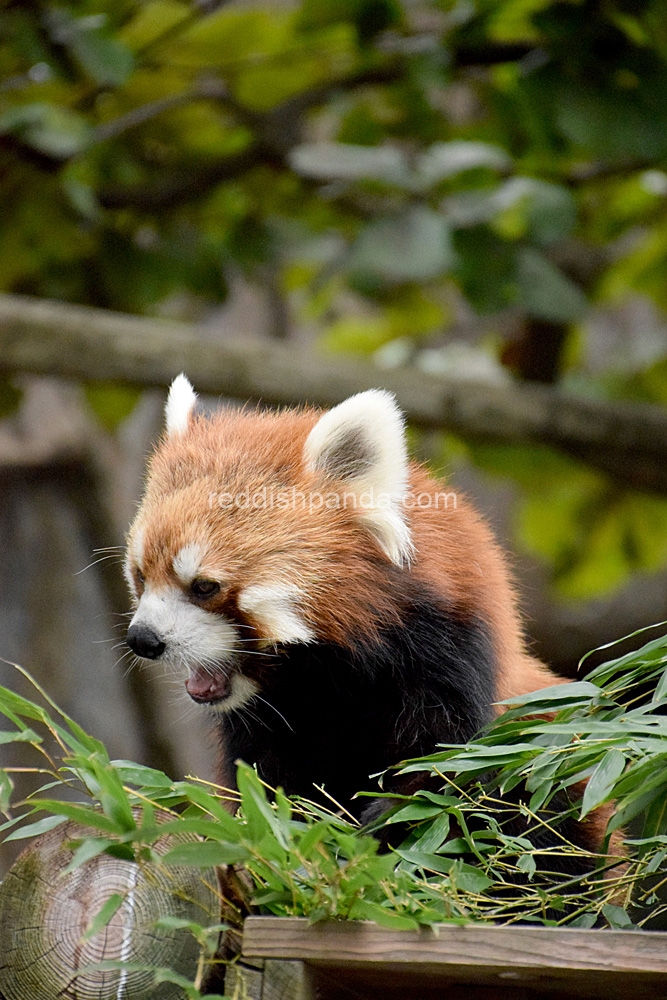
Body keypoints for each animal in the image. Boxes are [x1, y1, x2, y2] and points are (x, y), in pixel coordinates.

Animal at [122, 376, 568, 820]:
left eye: (204, 586)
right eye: (141, 576)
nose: (143, 639)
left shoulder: (448, 677)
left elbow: (436, 783)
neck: (326, 688)